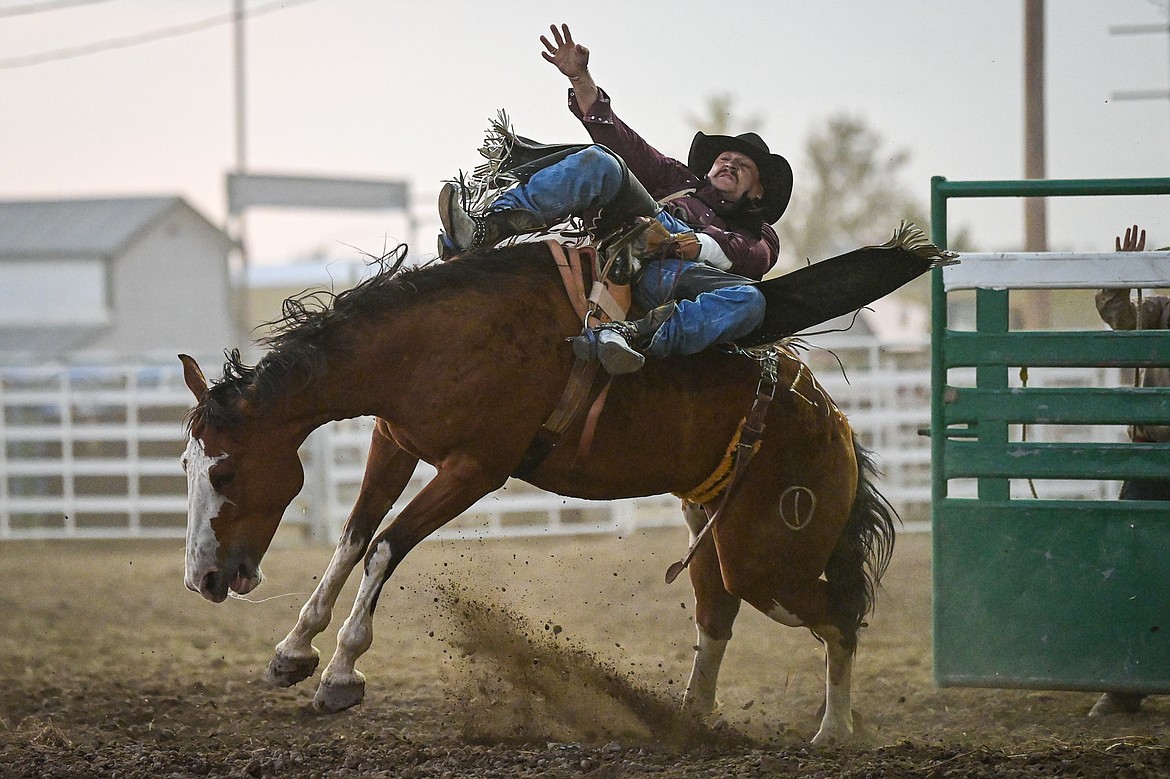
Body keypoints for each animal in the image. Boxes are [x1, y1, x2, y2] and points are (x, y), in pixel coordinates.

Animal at [180, 243, 893, 739]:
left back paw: (834, 732)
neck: (433, 342)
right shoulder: (393, 440)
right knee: (718, 611)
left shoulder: (475, 469)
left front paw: (340, 673)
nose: (204, 579)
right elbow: (354, 537)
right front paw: (292, 651)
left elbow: (385, 546)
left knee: (840, 614)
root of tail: (832, 420)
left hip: (769, 559)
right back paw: (690, 722)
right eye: (186, 465)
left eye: (224, 473)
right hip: (717, 529)